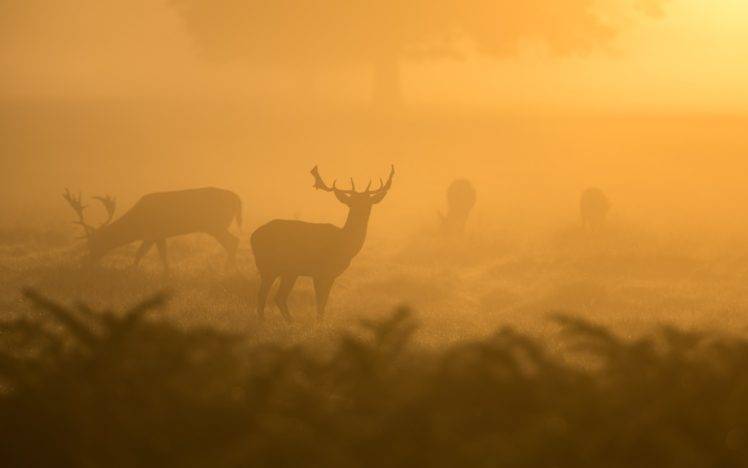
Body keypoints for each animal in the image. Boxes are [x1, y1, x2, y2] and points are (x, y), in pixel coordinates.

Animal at [63, 187, 242, 273]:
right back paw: (229, 269)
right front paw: (166, 273)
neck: (137, 225)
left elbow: (141, 254)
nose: (85, 263)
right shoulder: (156, 235)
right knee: (233, 241)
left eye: (94, 243)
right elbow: (159, 254)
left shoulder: (154, 232)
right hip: (216, 226)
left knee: (233, 241)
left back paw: (228, 270)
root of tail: (237, 199)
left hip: (215, 224)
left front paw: (131, 271)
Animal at [250, 165, 394, 322]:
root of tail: (253, 237)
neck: (345, 243)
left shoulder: (330, 275)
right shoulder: (320, 271)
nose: (362, 212)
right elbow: (320, 301)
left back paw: (289, 321)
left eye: (369, 203)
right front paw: (319, 322)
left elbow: (324, 302)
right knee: (264, 295)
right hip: (270, 266)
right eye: (351, 203)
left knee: (278, 297)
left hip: (288, 271)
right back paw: (267, 321)